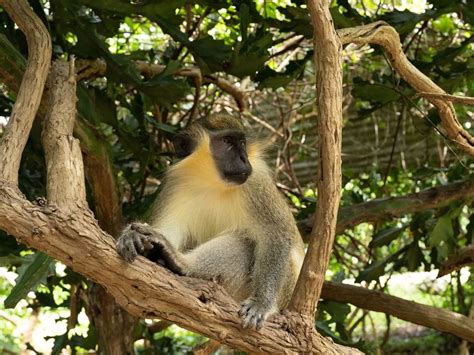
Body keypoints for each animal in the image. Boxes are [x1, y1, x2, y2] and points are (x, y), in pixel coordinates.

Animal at [116, 114, 306, 330]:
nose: (244, 159)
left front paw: (261, 303)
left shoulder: (256, 184)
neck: (212, 182)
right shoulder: (175, 185)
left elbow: (275, 235)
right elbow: (168, 230)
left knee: (246, 242)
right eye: (227, 142)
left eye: (242, 142)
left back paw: (182, 263)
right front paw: (133, 235)